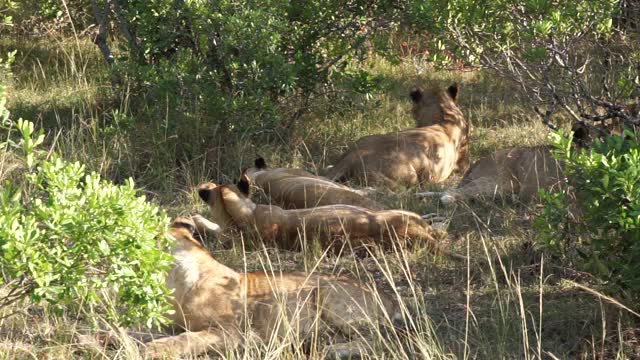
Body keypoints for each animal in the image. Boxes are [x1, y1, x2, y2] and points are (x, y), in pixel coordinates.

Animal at [146, 215, 404, 358]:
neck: (176, 281)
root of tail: (389, 296)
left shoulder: (231, 333)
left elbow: (188, 338)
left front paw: (154, 349)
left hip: (328, 294)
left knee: (381, 340)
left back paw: (332, 351)